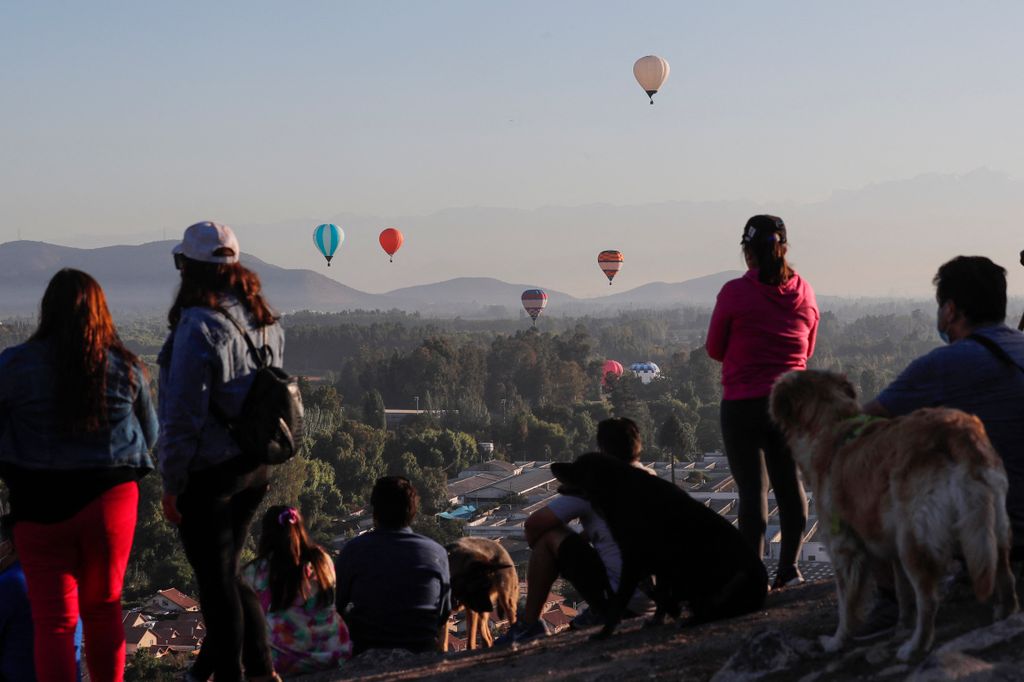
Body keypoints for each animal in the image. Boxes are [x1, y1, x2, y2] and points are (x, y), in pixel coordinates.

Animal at [770, 366, 1015, 659]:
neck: (831, 424)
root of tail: (958, 430)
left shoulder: (844, 545)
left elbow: (846, 603)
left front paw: (838, 640)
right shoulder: (888, 542)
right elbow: (902, 591)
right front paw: (901, 624)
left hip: (914, 536)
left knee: (929, 598)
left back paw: (916, 647)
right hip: (991, 521)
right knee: (1005, 570)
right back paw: (1004, 614)